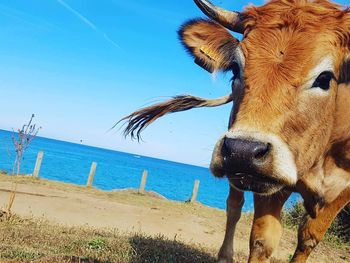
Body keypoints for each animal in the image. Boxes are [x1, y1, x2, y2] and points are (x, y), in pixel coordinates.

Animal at [121, 0, 350, 263]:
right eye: (234, 69)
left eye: (325, 78)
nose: (243, 150)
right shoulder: (266, 184)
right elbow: (262, 241)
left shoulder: (342, 189)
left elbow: (308, 239)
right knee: (234, 207)